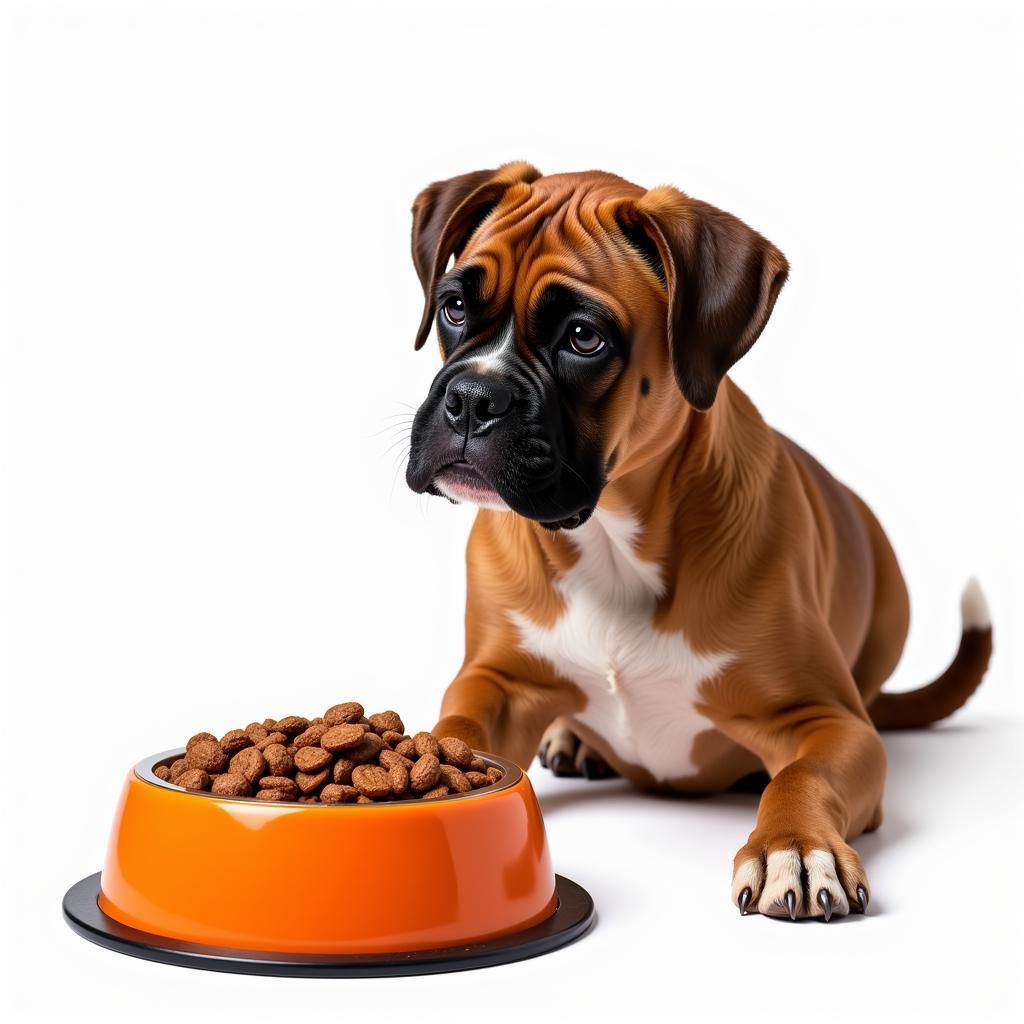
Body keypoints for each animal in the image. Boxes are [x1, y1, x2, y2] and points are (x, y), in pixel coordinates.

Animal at [405, 161, 991, 921]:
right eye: (453, 308)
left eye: (584, 338)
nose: (473, 398)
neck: (610, 540)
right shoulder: (493, 682)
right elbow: (458, 732)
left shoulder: (833, 723)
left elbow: (802, 776)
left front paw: (796, 847)